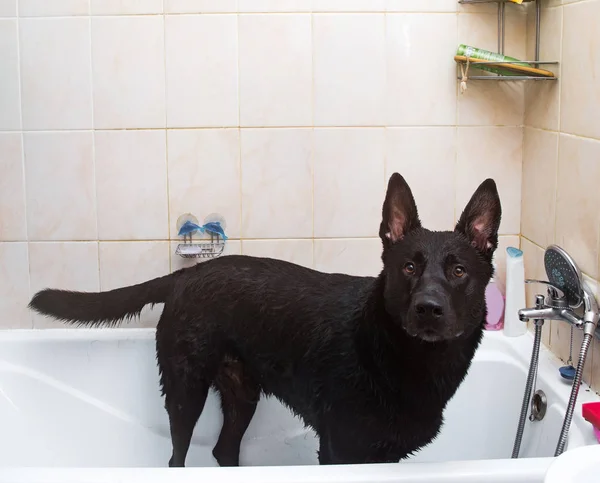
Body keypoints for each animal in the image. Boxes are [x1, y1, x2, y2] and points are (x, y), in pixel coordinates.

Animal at [31, 174, 502, 468]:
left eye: (459, 271)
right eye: (408, 267)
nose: (428, 308)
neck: (397, 356)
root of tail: (189, 274)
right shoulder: (340, 451)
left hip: (242, 394)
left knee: (223, 451)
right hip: (185, 390)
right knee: (178, 455)